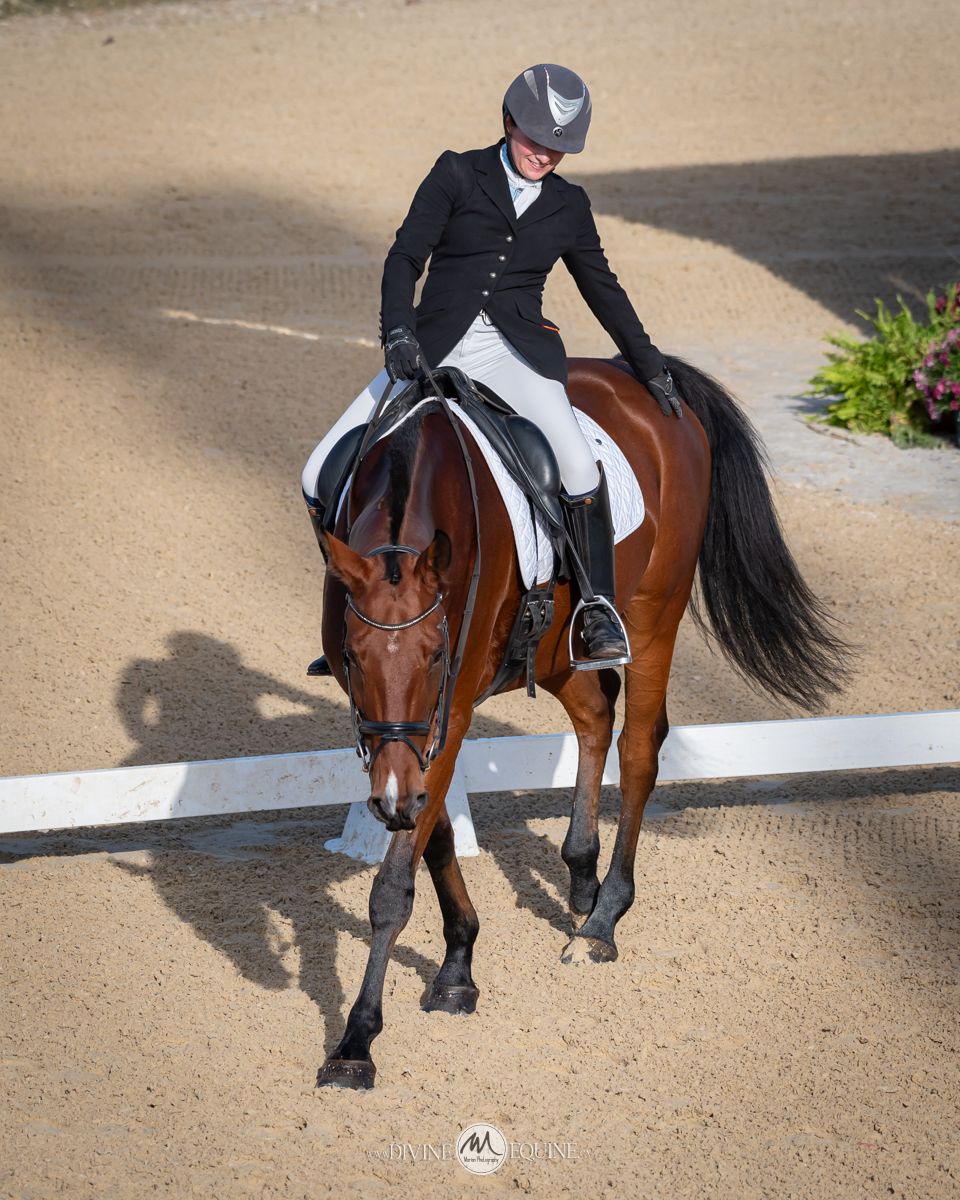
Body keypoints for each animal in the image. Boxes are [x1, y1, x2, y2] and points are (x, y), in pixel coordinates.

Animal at [313, 356, 848, 1090]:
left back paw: (602, 921)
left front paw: (357, 1040)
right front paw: (458, 967)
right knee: (596, 715)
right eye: (354, 657)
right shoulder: (409, 741)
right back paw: (582, 877)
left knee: (640, 747)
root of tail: (642, 376)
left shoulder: (447, 710)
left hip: (655, 612)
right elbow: (436, 835)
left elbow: (395, 883)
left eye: (434, 655)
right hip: (557, 648)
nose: (393, 799)